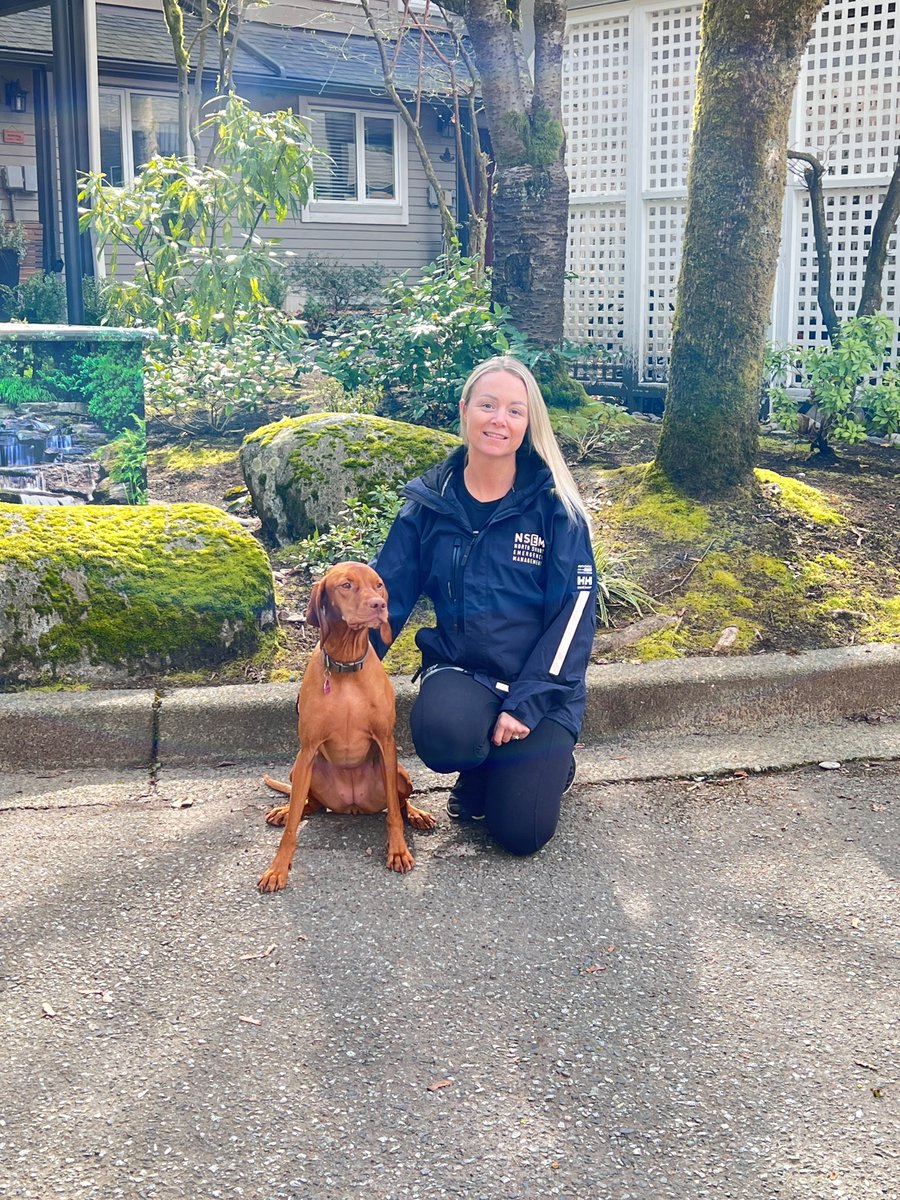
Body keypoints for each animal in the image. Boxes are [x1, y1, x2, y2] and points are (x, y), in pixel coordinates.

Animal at [256, 561, 436, 892]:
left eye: (378, 585)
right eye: (346, 585)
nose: (379, 605)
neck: (347, 663)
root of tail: (352, 806)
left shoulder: (386, 742)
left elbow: (394, 813)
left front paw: (398, 851)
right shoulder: (308, 748)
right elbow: (292, 828)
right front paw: (278, 868)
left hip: (399, 772)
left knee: (401, 801)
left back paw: (417, 814)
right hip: (299, 769)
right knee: (307, 803)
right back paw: (286, 810)